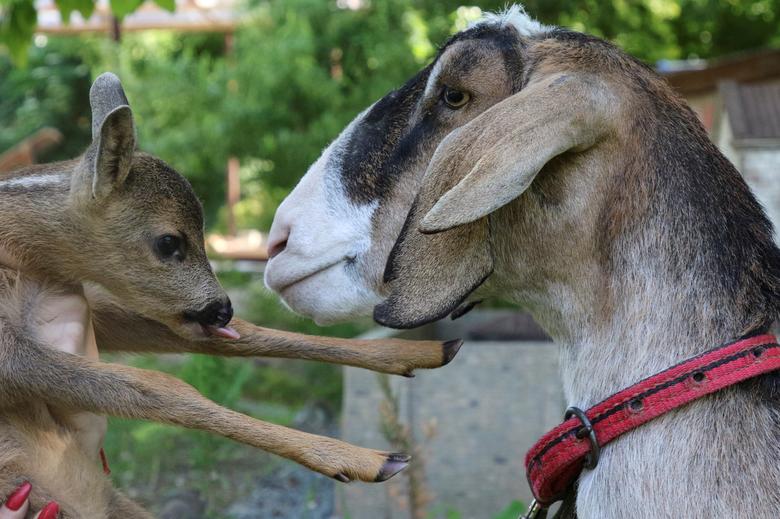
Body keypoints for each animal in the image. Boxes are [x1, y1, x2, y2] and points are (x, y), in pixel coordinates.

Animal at [0, 73, 460, 519]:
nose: (221, 309)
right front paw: (362, 458)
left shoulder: (90, 305)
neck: (23, 261)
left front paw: (417, 352)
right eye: (168, 242)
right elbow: (160, 385)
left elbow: (242, 336)